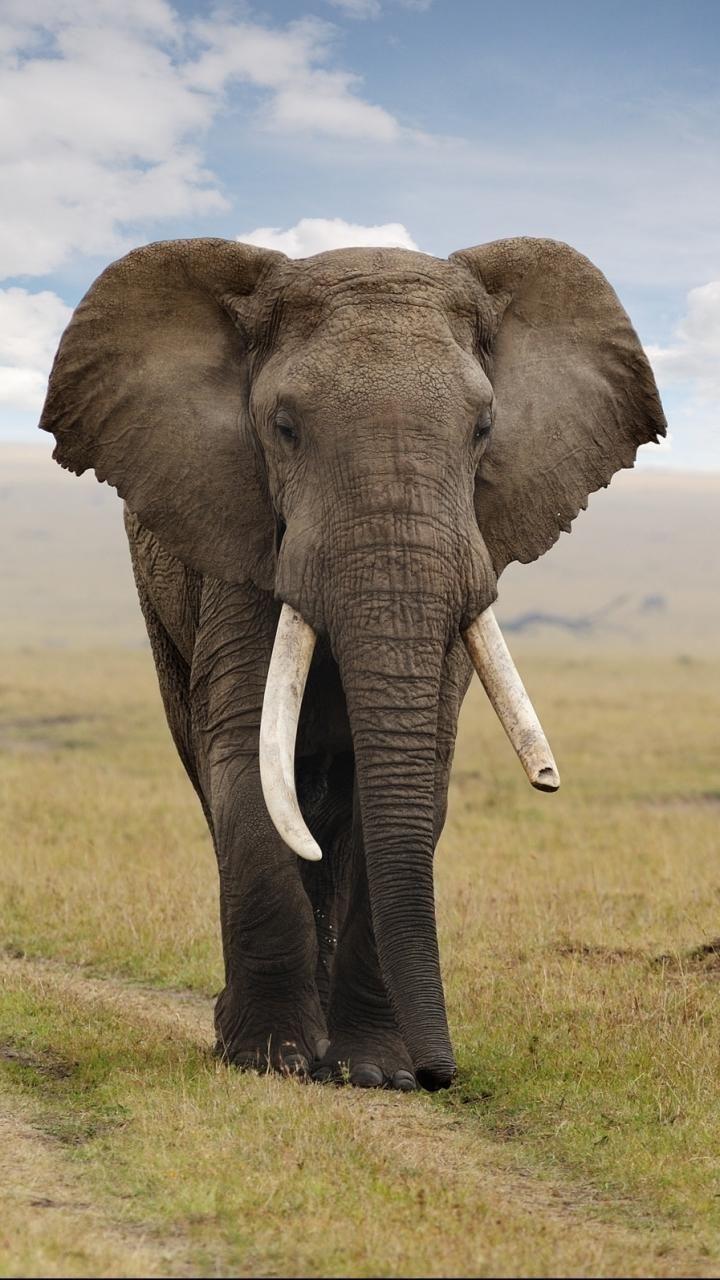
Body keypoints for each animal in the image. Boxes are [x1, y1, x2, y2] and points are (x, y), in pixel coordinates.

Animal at [39, 236, 666, 1092]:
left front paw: (374, 1072)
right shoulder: (240, 535)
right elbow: (247, 756)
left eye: (484, 427)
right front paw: (269, 1060)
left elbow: (414, 772)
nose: (442, 1075)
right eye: (284, 427)